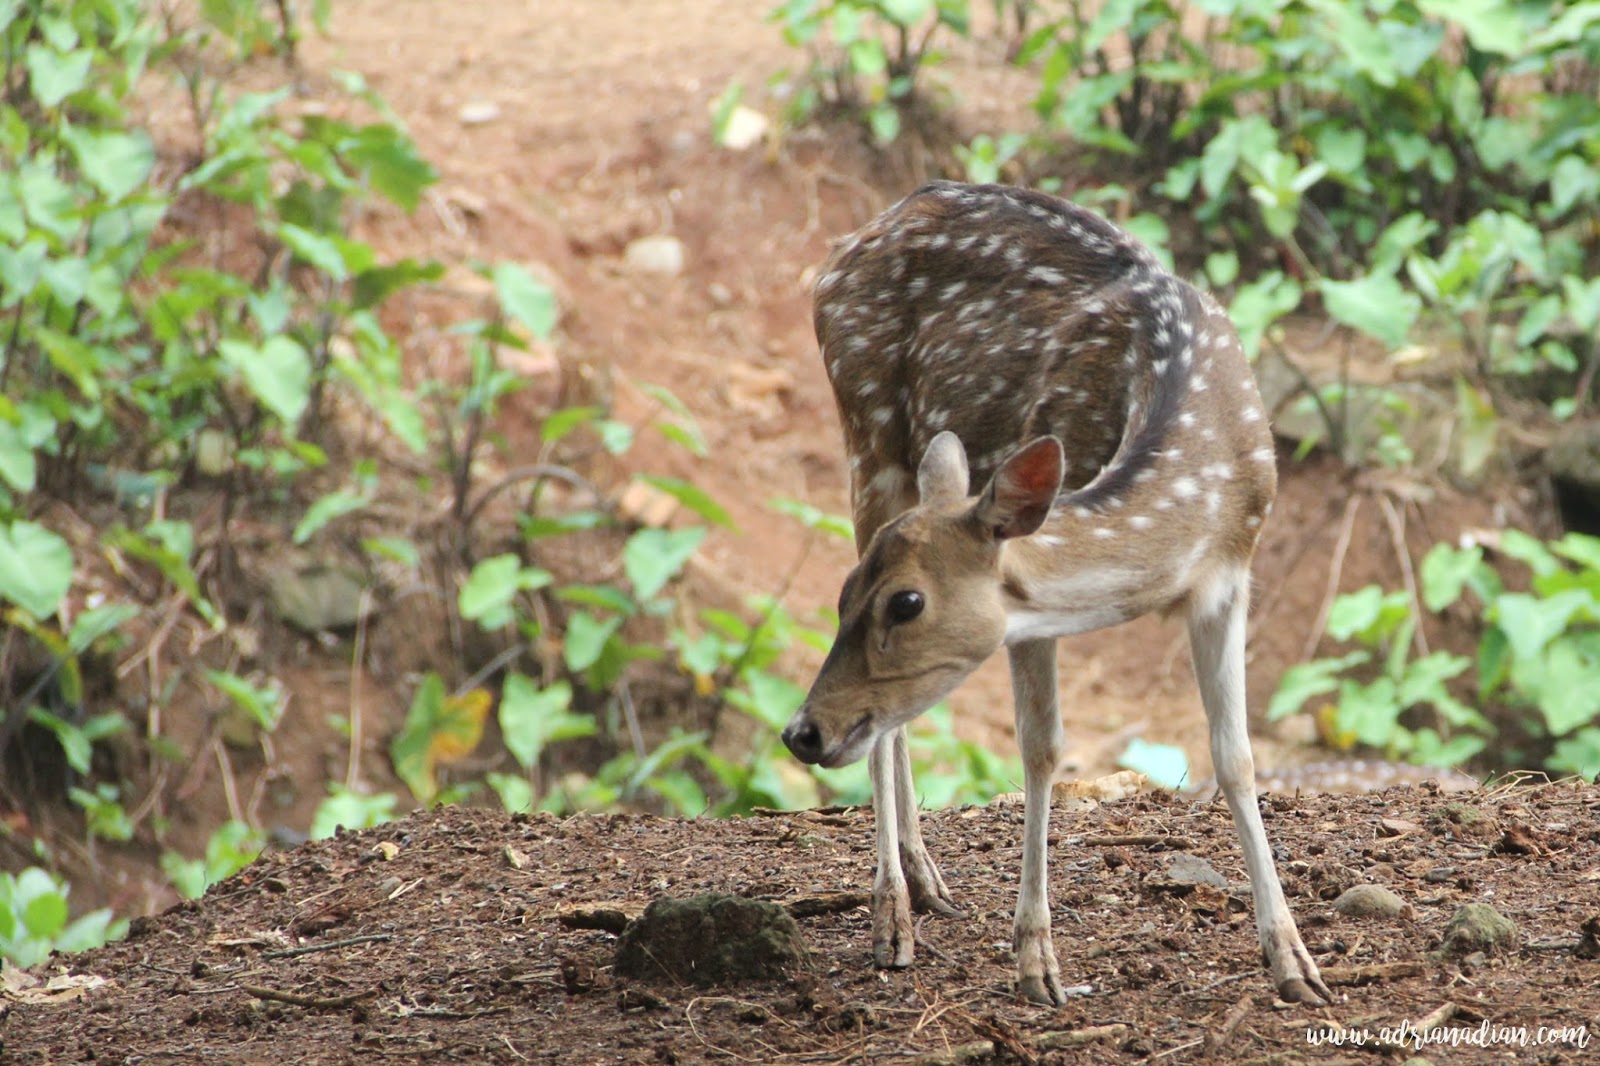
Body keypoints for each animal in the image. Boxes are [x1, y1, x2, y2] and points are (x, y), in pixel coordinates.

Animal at [780, 182, 1331, 1005]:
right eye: (851, 599)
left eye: (905, 602)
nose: (801, 732)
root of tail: (853, 240)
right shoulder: (1030, 608)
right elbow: (1041, 749)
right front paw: (1036, 960)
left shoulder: (1230, 575)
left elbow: (1235, 755)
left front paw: (1294, 960)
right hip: (867, 437)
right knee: (890, 729)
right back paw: (894, 911)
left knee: (893, 722)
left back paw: (924, 878)